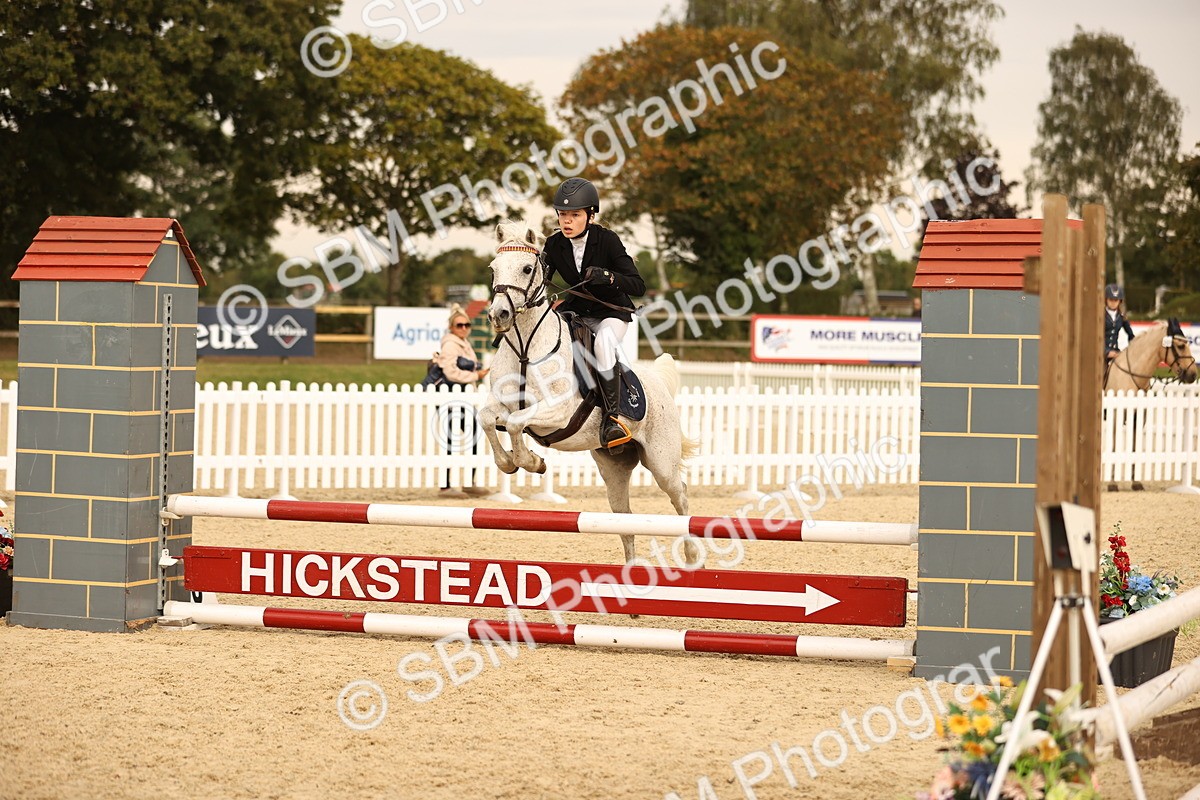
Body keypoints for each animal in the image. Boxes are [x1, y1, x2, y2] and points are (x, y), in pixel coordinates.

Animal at [478, 221, 699, 565]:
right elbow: (488, 419)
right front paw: (512, 463)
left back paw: (690, 556)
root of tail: (659, 384)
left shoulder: (558, 412)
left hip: (662, 462)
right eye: (493, 269)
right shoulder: (502, 404)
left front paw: (531, 461)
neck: (527, 348)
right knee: (624, 518)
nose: (498, 315)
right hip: (613, 467)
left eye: (527, 268)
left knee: (681, 496)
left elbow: (515, 423)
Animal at [1103, 318, 1197, 490]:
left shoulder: (1138, 418)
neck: (1131, 374)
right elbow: (1113, 447)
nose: (1193, 375)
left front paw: (1136, 482)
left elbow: (1134, 447)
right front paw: (1112, 483)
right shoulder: (1115, 416)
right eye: (1180, 346)